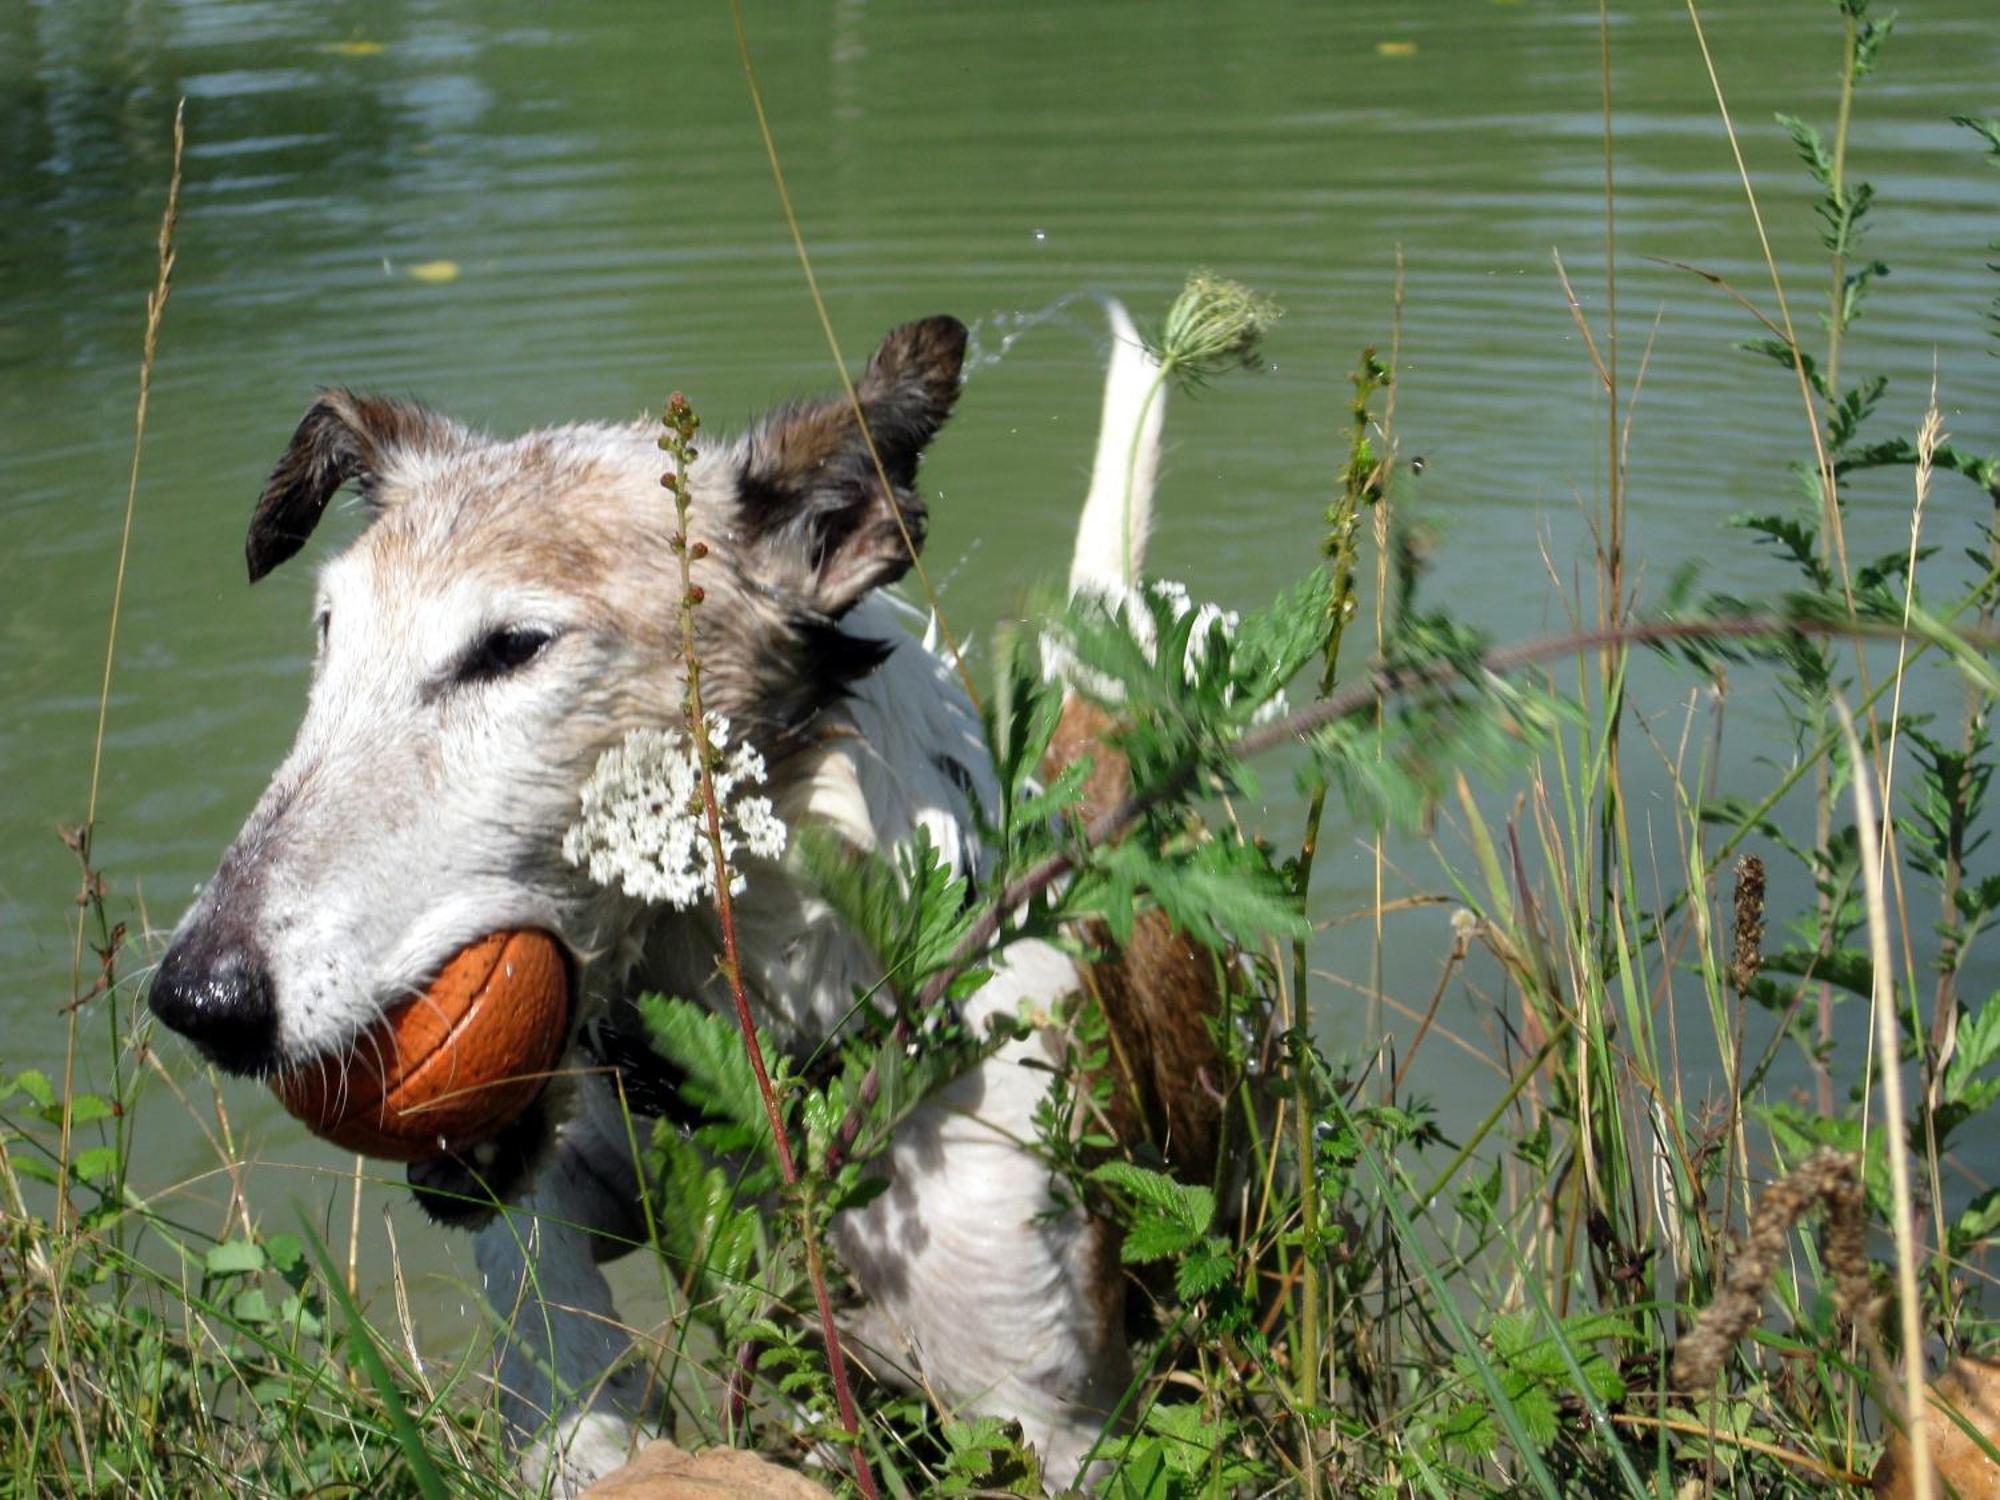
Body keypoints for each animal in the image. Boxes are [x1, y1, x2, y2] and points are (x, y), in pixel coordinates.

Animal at [148, 302, 1224, 1496]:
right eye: (331, 627)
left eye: (512, 647)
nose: (199, 997)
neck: (795, 1030)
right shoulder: (585, 1152)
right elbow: (543, 1293)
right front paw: (593, 1429)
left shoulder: (1054, 1413)